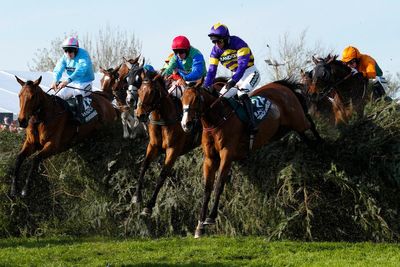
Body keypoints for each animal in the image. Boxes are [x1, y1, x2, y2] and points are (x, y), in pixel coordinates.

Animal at [180, 79, 322, 239]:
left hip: (298, 120)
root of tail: (283, 86)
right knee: (304, 135)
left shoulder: (227, 155)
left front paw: (210, 218)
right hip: (283, 129)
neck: (217, 120)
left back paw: (322, 147)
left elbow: (219, 185)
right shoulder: (210, 158)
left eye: (196, 99)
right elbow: (206, 189)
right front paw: (200, 226)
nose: (186, 124)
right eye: (181, 99)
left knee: (311, 124)